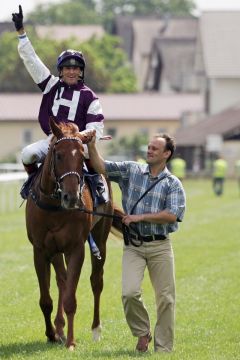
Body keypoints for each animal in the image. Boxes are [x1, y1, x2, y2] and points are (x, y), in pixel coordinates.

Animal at [25, 117, 116, 348]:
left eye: (81, 156)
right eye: (58, 155)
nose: (72, 197)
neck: (53, 206)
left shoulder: (75, 248)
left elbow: (71, 299)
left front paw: (71, 342)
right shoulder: (40, 250)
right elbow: (46, 299)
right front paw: (52, 333)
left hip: (100, 238)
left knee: (96, 281)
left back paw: (95, 329)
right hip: (56, 250)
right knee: (62, 280)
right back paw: (59, 329)